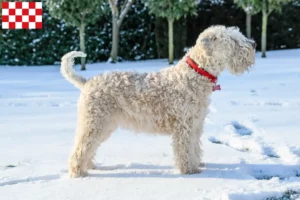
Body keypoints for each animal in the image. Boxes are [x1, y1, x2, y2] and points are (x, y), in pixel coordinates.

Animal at [61, 25, 255, 178]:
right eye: (233, 39)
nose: (253, 44)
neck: (195, 75)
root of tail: (87, 82)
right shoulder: (184, 125)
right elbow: (185, 150)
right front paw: (189, 171)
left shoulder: (196, 124)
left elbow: (194, 147)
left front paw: (197, 165)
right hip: (94, 123)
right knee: (81, 148)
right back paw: (78, 172)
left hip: (104, 125)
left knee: (89, 147)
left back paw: (90, 166)